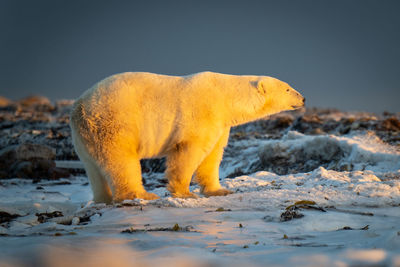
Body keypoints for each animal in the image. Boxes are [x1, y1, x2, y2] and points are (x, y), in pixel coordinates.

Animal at [70, 71, 304, 203]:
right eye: (287, 88)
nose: (303, 98)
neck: (225, 96)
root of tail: (78, 106)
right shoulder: (201, 112)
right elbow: (190, 151)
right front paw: (184, 192)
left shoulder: (221, 123)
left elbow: (212, 155)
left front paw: (220, 190)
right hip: (114, 122)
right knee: (122, 162)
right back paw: (141, 195)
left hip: (86, 136)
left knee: (95, 168)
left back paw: (102, 199)